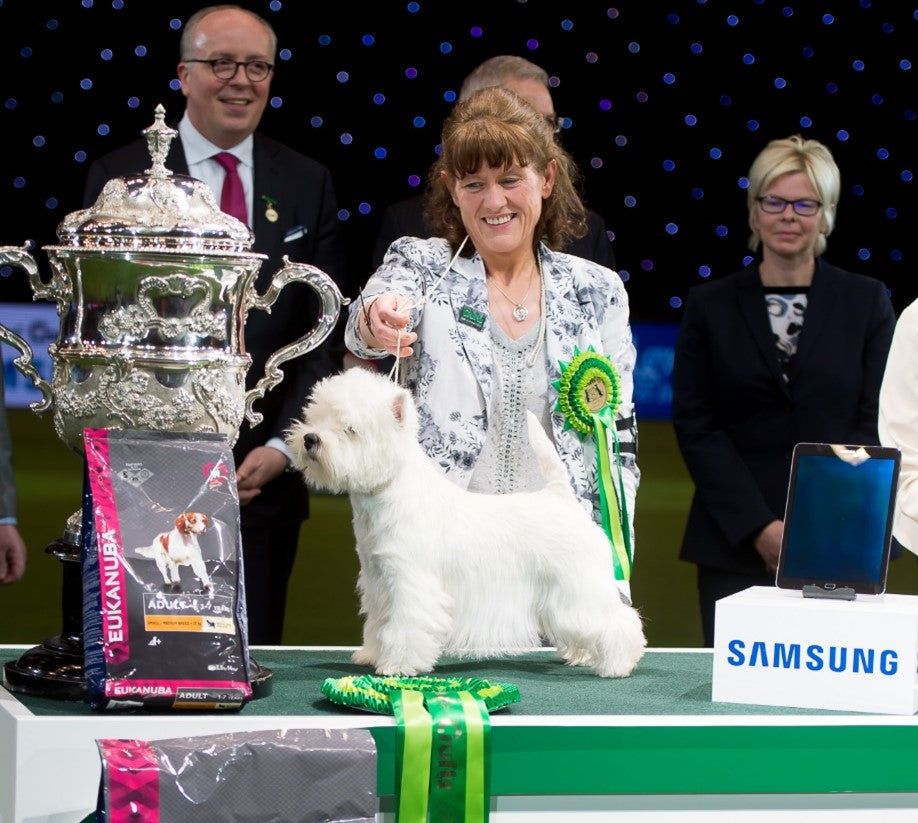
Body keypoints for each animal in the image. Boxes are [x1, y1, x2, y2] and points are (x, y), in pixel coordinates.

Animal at [288, 370, 648, 680]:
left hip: (579, 584)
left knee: (618, 620)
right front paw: (372, 654)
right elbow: (379, 622)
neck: (389, 492)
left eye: (350, 429)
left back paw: (619, 664)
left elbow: (405, 624)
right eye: (315, 416)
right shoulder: (379, 580)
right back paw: (581, 655)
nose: (310, 439)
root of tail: (561, 496)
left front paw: (398, 665)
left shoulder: (410, 580)